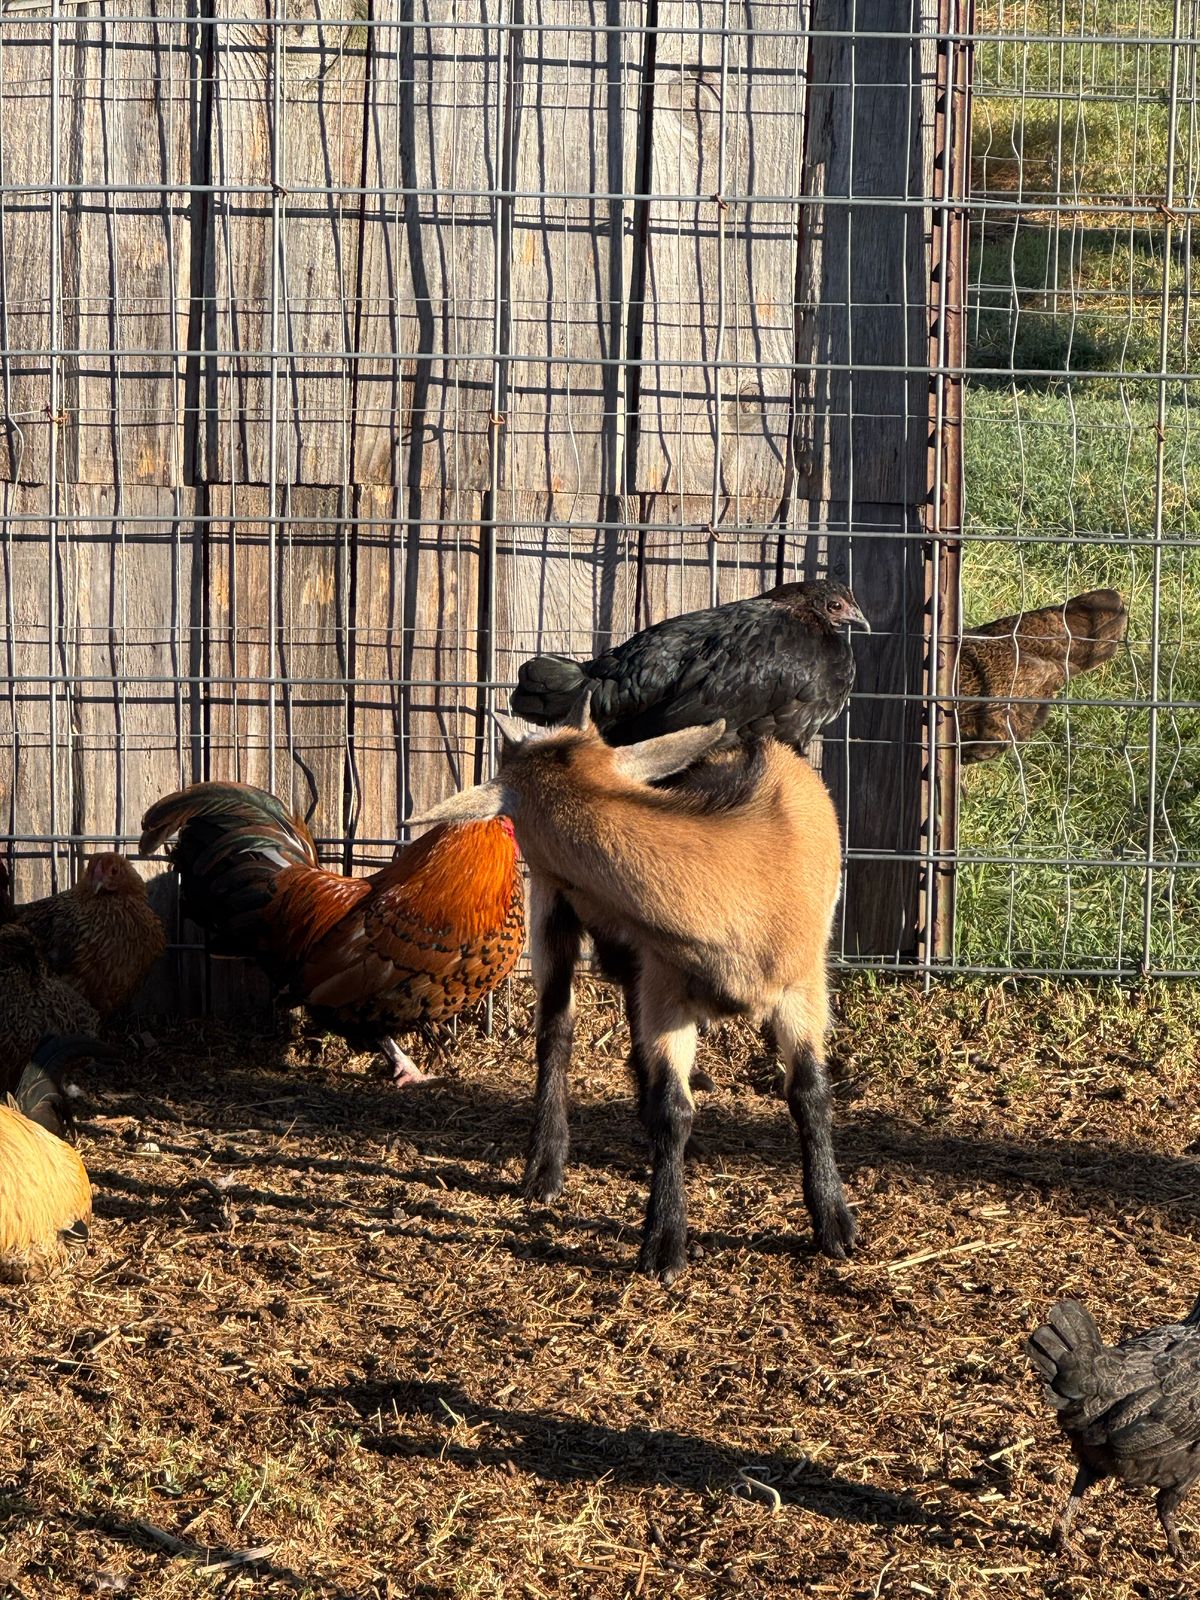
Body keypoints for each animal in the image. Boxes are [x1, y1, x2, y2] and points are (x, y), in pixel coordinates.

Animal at [411, 698, 855, 1284]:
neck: (749, 872)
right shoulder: (666, 987)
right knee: (556, 1031)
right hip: (552, 910)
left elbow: (809, 1091)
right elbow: (673, 1109)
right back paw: (544, 1167)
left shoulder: (804, 986)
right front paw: (664, 1244)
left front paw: (834, 1222)